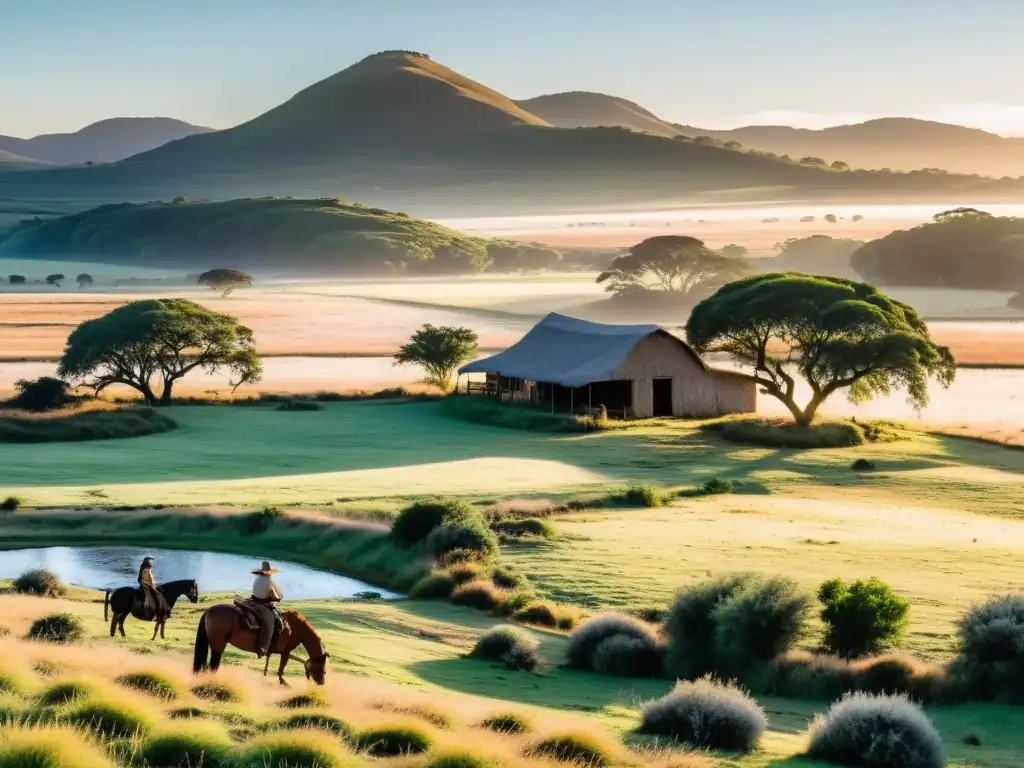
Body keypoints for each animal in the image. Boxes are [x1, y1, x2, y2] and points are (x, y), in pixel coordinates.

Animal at [193, 606, 329, 688]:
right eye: (323, 667)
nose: (322, 682)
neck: (296, 628)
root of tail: (208, 612)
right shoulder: (286, 652)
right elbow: (282, 667)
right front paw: (284, 682)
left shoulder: (285, 652)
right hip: (218, 645)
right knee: (213, 665)